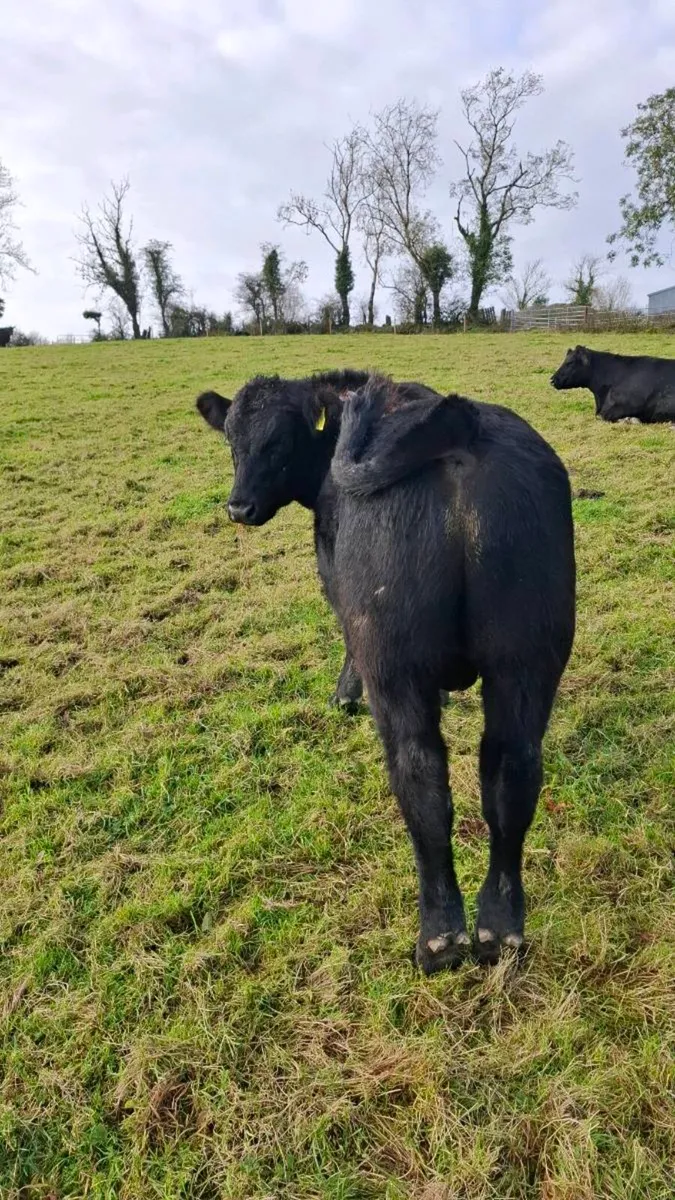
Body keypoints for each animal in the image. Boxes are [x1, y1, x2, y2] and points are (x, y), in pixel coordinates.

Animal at [196, 371, 576, 973]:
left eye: (277, 441)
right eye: (231, 439)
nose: (239, 508)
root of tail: (461, 426)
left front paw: (343, 697)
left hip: (394, 660)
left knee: (419, 776)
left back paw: (439, 937)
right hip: (525, 658)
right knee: (512, 772)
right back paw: (498, 929)